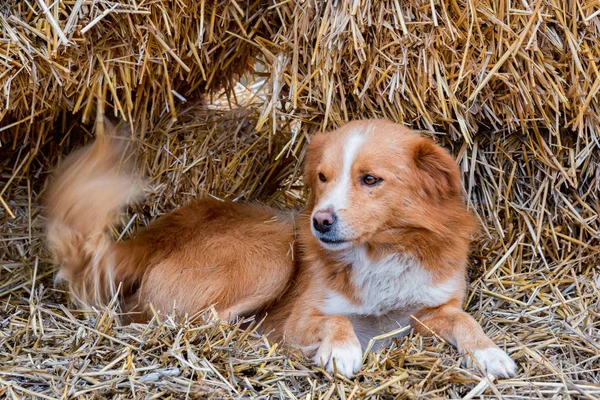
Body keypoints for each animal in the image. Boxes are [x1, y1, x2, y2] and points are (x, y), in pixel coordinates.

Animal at [47, 119, 516, 378]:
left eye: (370, 180)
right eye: (323, 177)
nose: (320, 221)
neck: (380, 250)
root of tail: (156, 234)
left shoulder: (432, 309)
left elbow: (467, 322)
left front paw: (491, 354)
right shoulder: (302, 318)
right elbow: (336, 321)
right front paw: (341, 351)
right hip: (273, 251)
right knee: (189, 324)